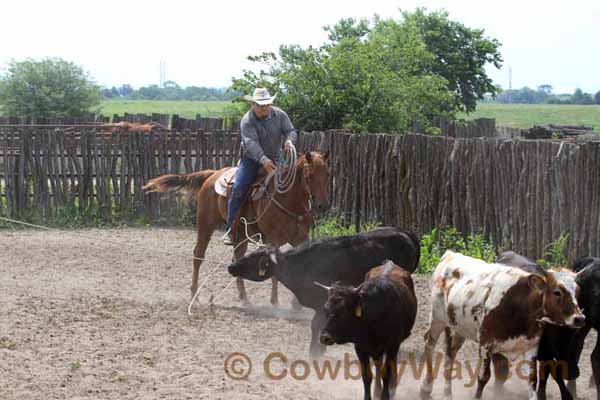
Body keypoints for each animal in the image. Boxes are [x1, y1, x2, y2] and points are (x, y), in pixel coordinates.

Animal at [143, 152, 330, 304]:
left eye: (327, 174)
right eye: (310, 175)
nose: (323, 205)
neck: (288, 200)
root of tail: (212, 174)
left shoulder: (301, 238)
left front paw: (297, 304)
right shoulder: (273, 240)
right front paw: (275, 302)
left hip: (241, 236)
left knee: (236, 259)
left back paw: (244, 298)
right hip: (205, 225)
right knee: (198, 256)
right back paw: (195, 296)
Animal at [227, 228, 420, 356]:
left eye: (254, 258)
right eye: (251, 253)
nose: (231, 266)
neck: (301, 265)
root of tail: (404, 232)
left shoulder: (322, 303)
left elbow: (316, 325)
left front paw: (315, 351)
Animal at [318, 260, 418, 400]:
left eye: (344, 311)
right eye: (325, 309)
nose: (325, 337)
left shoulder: (392, 345)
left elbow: (386, 373)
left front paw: (385, 395)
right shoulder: (361, 348)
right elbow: (367, 376)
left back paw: (392, 387)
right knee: (378, 364)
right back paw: (377, 390)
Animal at [420, 250, 584, 400]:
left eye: (577, 290)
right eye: (557, 292)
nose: (580, 318)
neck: (522, 306)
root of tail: (450, 254)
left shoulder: (531, 348)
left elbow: (532, 380)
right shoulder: (486, 344)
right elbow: (483, 377)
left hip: (459, 327)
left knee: (450, 353)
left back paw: (447, 393)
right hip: (437, 318)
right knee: (429, 344)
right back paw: (426, 388)